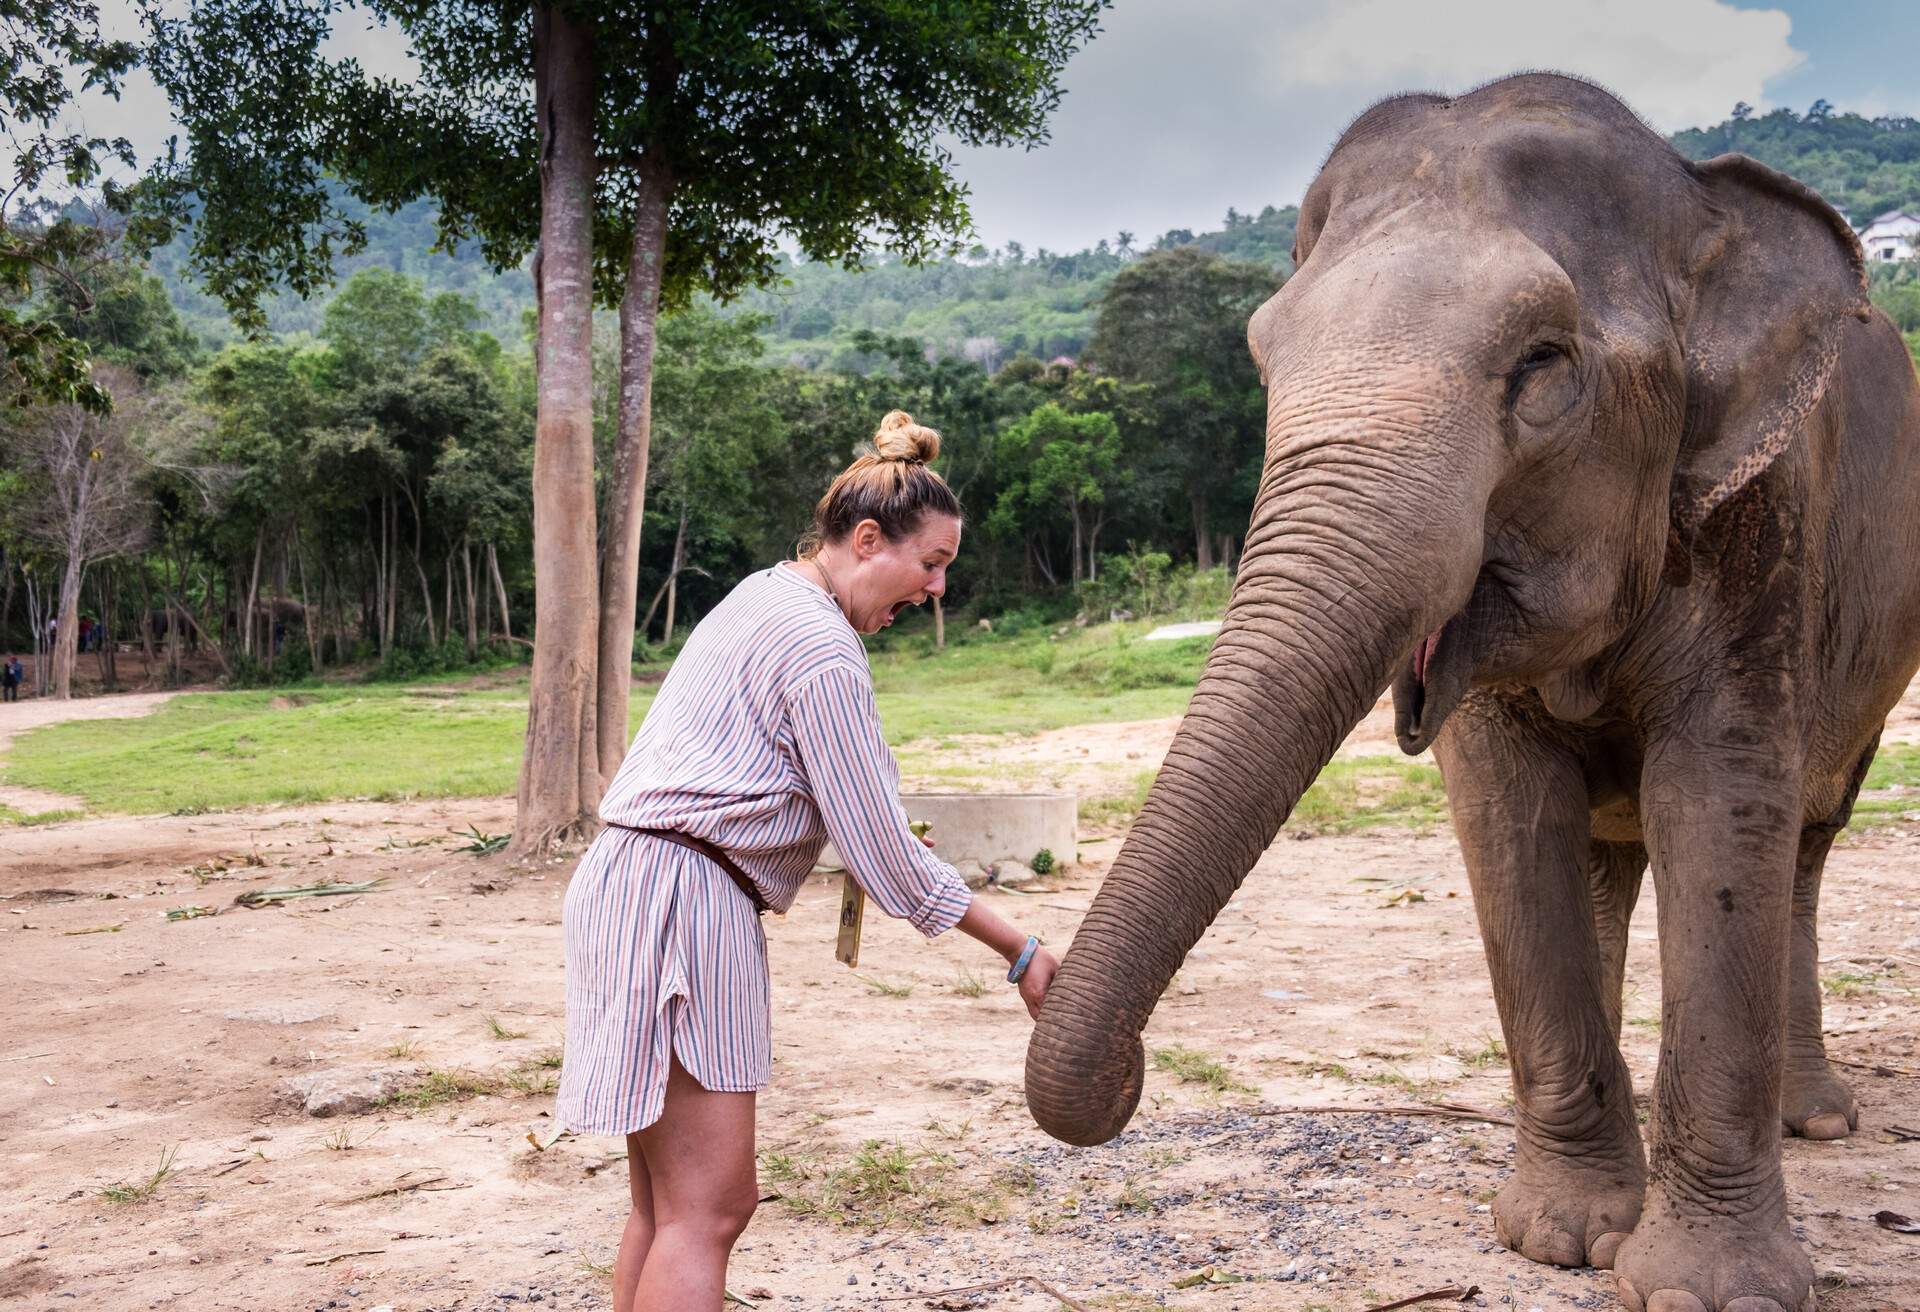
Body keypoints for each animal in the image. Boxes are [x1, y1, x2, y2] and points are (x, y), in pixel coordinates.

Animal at [1029, 74, 1920, 1312]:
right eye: (1262, 362)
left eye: (1542, 362)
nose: (1123, 1078)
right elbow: (1506, 810)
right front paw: (1562, 1239)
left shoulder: (1761, 519)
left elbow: (1718, 798)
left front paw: (1706, 1290)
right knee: (1604, 856)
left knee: (1802, 839)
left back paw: (1814, 1120)